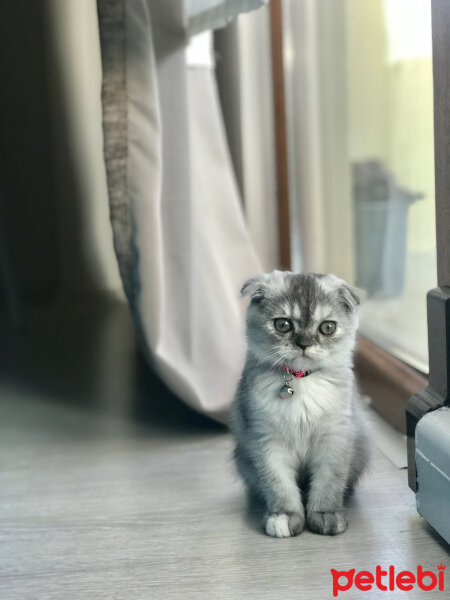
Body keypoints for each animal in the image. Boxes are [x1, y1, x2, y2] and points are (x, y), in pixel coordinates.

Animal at [230, 272, 370, 540]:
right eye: (283, 325)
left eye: (327, 327)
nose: (304, 344)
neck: (301, 381)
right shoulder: (267, 442)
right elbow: (280, 486)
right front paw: (283, 517)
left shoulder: (334, 439)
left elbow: (328, 483)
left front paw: (326, 515)